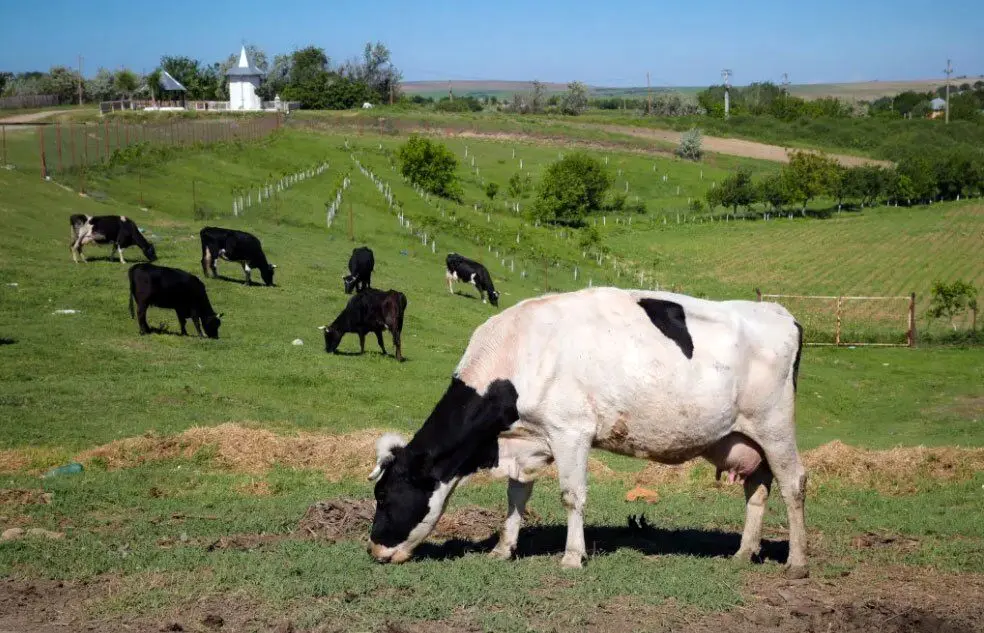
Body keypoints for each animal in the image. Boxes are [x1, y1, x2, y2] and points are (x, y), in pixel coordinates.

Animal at [368, 286, 808, 576]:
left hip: (774, 426)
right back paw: (744, 553)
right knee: (758, 491)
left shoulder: (571, 431)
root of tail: (780, 313)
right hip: (747, 439)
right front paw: (503, 548)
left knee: (794, 484)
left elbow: (571, 496)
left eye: (385, 496)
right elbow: (516, 495)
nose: (373, 549)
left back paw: (797, 562)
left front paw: (572, 557)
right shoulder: (528, 440)